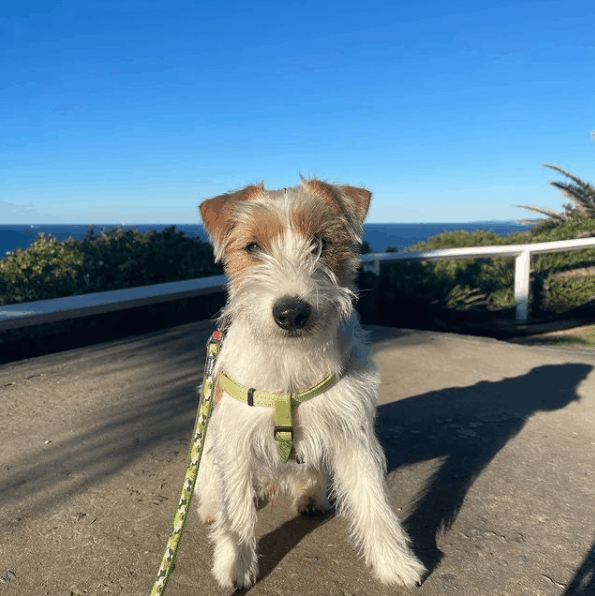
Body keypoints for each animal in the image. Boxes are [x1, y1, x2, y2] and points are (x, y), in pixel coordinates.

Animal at [194, 175, 424, 588]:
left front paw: (395, 561)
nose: (291, 313)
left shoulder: (353, 434)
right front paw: (234, 562)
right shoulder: (236, 438)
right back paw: (212, 508)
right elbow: (236, 509)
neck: (290, 362)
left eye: (319, 243)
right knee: (217, 490)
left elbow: (373, 501)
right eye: (253, 247)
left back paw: (310, 497)